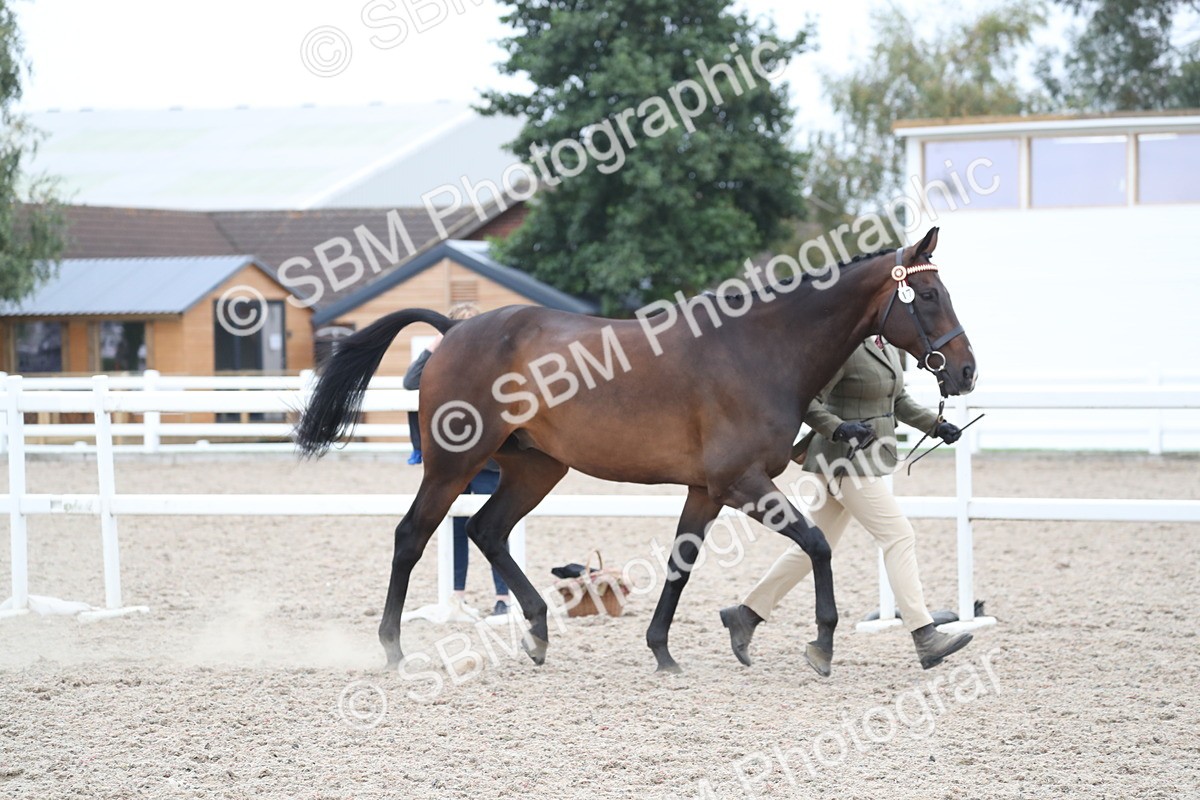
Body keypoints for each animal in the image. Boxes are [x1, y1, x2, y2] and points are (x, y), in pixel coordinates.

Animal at [294, 226, 976, 675]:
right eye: (929, 296)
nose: (966, 372)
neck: (761, 350)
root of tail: (455, 328)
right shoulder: (743, 483)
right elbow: (815, 545)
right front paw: (821, 645)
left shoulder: (707, 490)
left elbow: (681, 562)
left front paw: (663, 649)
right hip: (454, 465)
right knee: (413, 535)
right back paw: (392, 649)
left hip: (535, 467)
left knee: (488, 531)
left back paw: (538, 633)